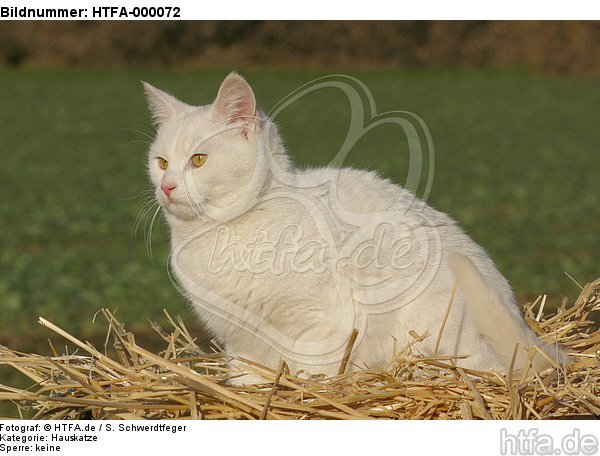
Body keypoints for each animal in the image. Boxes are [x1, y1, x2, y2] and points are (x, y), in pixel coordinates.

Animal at [143, 72, 568, 384]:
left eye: (199, 160)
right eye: (161, 162)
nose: (167, 186)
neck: (220, 232)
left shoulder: (322, 325)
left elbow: (312, 375)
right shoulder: (241, 343)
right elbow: (249, 382)